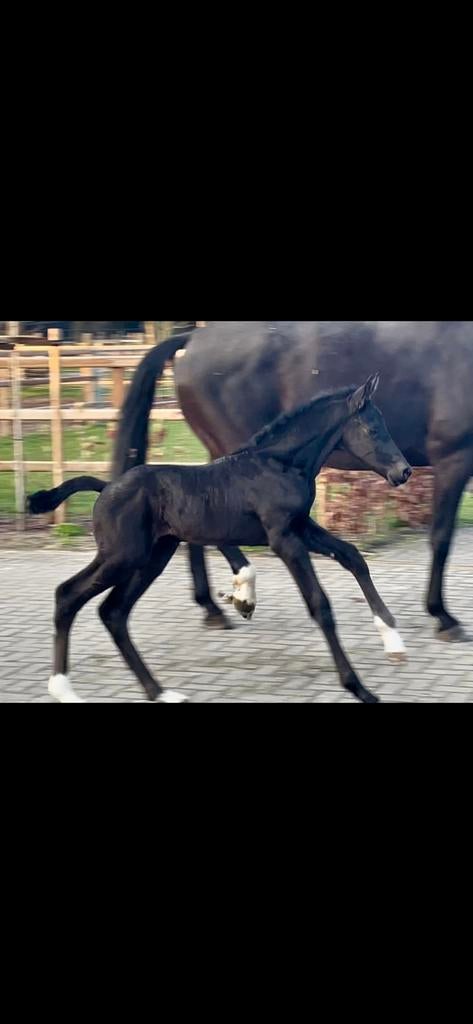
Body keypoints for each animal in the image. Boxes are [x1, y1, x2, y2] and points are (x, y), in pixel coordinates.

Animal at [39, 375, 411, 704]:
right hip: (122, 556)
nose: (403, 471)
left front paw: (393, 639)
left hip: (153, 557)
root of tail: (106, 488)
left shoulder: (302, 527)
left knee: (113, 612)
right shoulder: (283, 539)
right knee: (68, 595)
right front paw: (359, 688)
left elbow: (353, 556)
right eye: (373, 428)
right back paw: (64, 690)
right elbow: (320, 604)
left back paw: (160, 692)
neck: (281, 465)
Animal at [175, 321, 473, 642]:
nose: (403, 471)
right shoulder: (453, 459)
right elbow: (441, 538)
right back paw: (236, 596)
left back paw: (212, 607)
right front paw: (443, 616)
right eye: (372, 428)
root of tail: (191, 339)